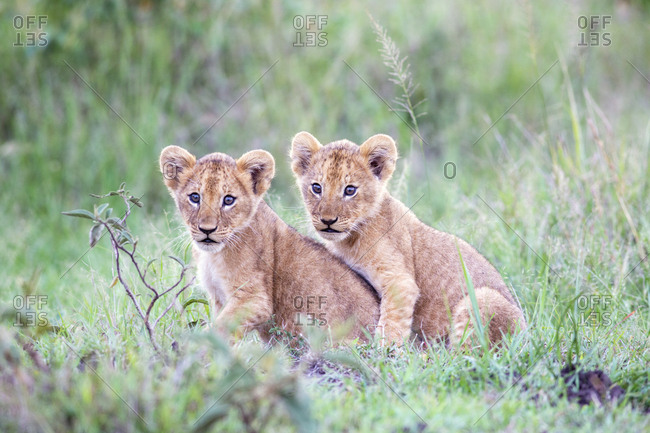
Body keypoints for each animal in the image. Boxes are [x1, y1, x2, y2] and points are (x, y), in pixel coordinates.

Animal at [159, 145, 379, 343]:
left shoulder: (255, 300)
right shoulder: (219, 299)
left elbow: (218, 330)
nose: (207, 230)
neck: (213, 255)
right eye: (195, 197)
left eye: (228, 200)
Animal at [290, 132, 526, 348]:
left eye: (350, 190)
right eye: (316, 188)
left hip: (485, 299)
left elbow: (391, 322)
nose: (328, 220)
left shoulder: (400, 281)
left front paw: (386, 352)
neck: (350, 239)